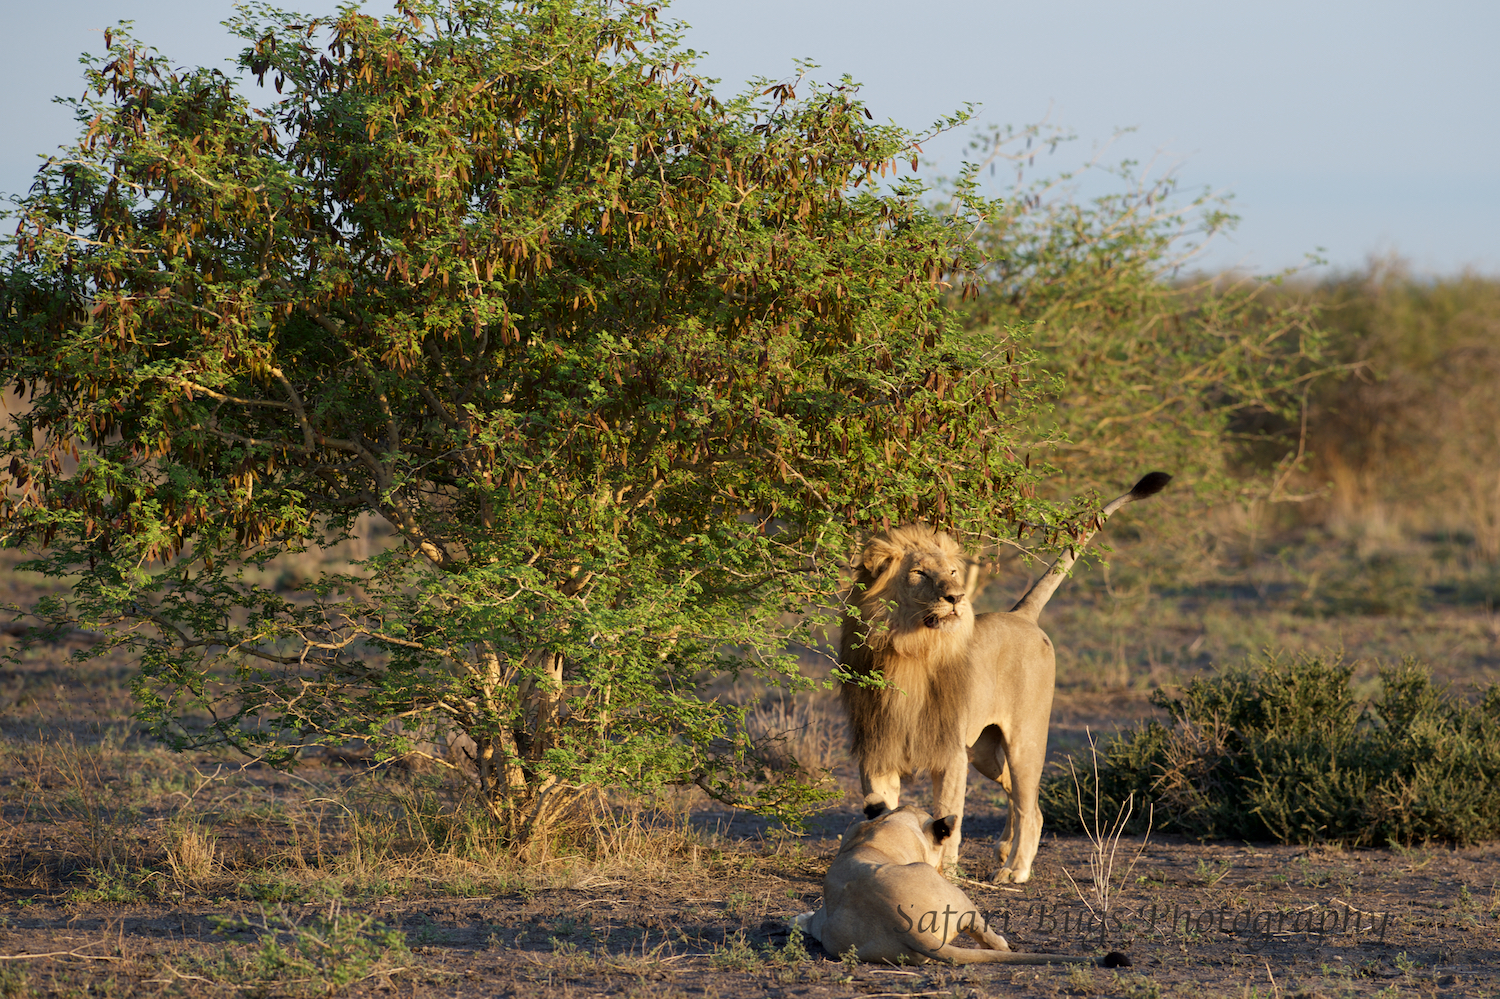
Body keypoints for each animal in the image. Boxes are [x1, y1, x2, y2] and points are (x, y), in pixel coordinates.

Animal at [846, 471, 1170, 876]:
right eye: (918, 573)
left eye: (952, 572)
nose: (956, 597)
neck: (909, 650)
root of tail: (1022, 615)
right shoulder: (878, 751)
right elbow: (884, 809)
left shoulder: (950, 754)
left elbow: (948, 814)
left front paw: (946, 871)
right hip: (983, 751)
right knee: (1022, 799)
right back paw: (1005, 851)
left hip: (1024, 741)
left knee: (1028, 806)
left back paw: (1016, 869)